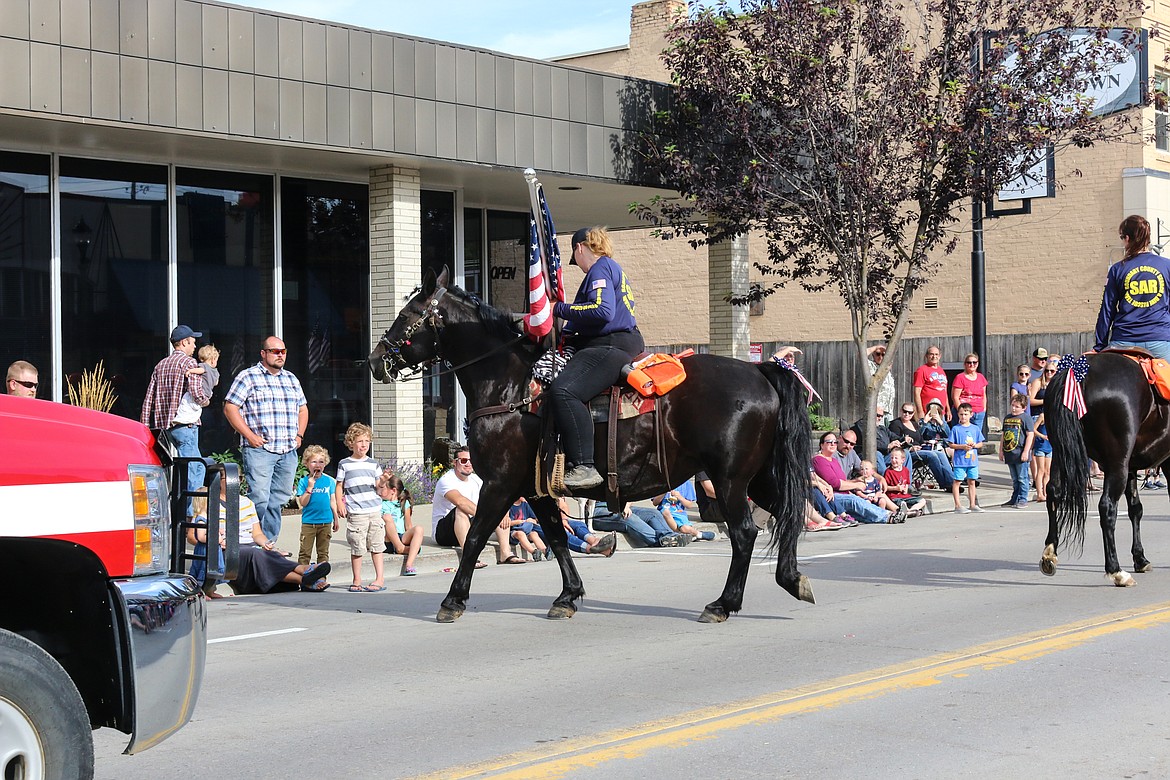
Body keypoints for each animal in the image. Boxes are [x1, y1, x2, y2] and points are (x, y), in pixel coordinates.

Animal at [365, 268, 814, 622]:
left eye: (406, 315)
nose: (373, 361)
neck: (510, 388)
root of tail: (761, 371)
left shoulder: (499, 484)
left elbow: (475, 538)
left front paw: (453, 600)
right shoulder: (537, 489)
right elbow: (557, 538)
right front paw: (568, 596)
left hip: (730, 479)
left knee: (745, 532)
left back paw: (724, 603)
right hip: (758, 477)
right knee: (789, 514)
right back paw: (792, 580)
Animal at [1048, 353, 1170, 584]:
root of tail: (1079, 373)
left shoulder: (1131, 467)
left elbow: (1136, 509)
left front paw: (1140, 558)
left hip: (1061, 453)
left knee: (1054, 492)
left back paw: (1049, 554)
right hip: (1116, 463)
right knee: (1107, 506)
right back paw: (1116, 570)